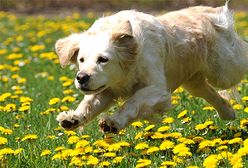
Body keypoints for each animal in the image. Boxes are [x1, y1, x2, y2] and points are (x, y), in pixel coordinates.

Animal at [55, 2, 247, 133]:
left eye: (103, 59)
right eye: (81, 60)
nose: (81, 78)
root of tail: (211, 11)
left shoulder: (158, 89)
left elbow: (133, 101)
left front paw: (112, 122)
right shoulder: (107, 89)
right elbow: (88, 103)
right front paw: (72, 119)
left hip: (224, 71)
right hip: (194, 82)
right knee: (212, 94)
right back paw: (228, 112)